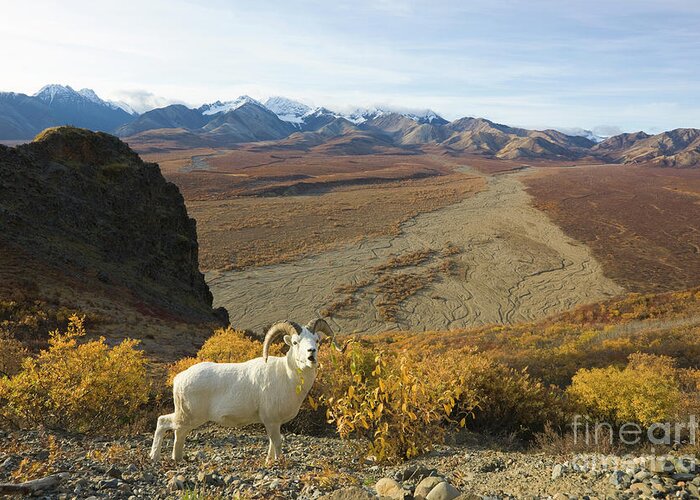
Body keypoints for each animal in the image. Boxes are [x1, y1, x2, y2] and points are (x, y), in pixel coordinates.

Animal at [148, 318, 344, 462]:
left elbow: (272, 445)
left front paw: (269, 462)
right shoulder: (271, 421)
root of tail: (179, 379)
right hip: (188, 416)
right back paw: (154, 457)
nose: (311, 354)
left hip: (187, 419)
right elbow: (277, 444)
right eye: (295, 342)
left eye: (317, 340)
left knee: (178, 433)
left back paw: (178, 459)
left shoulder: (274, 423)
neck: (287, 377)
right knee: (163, 422)